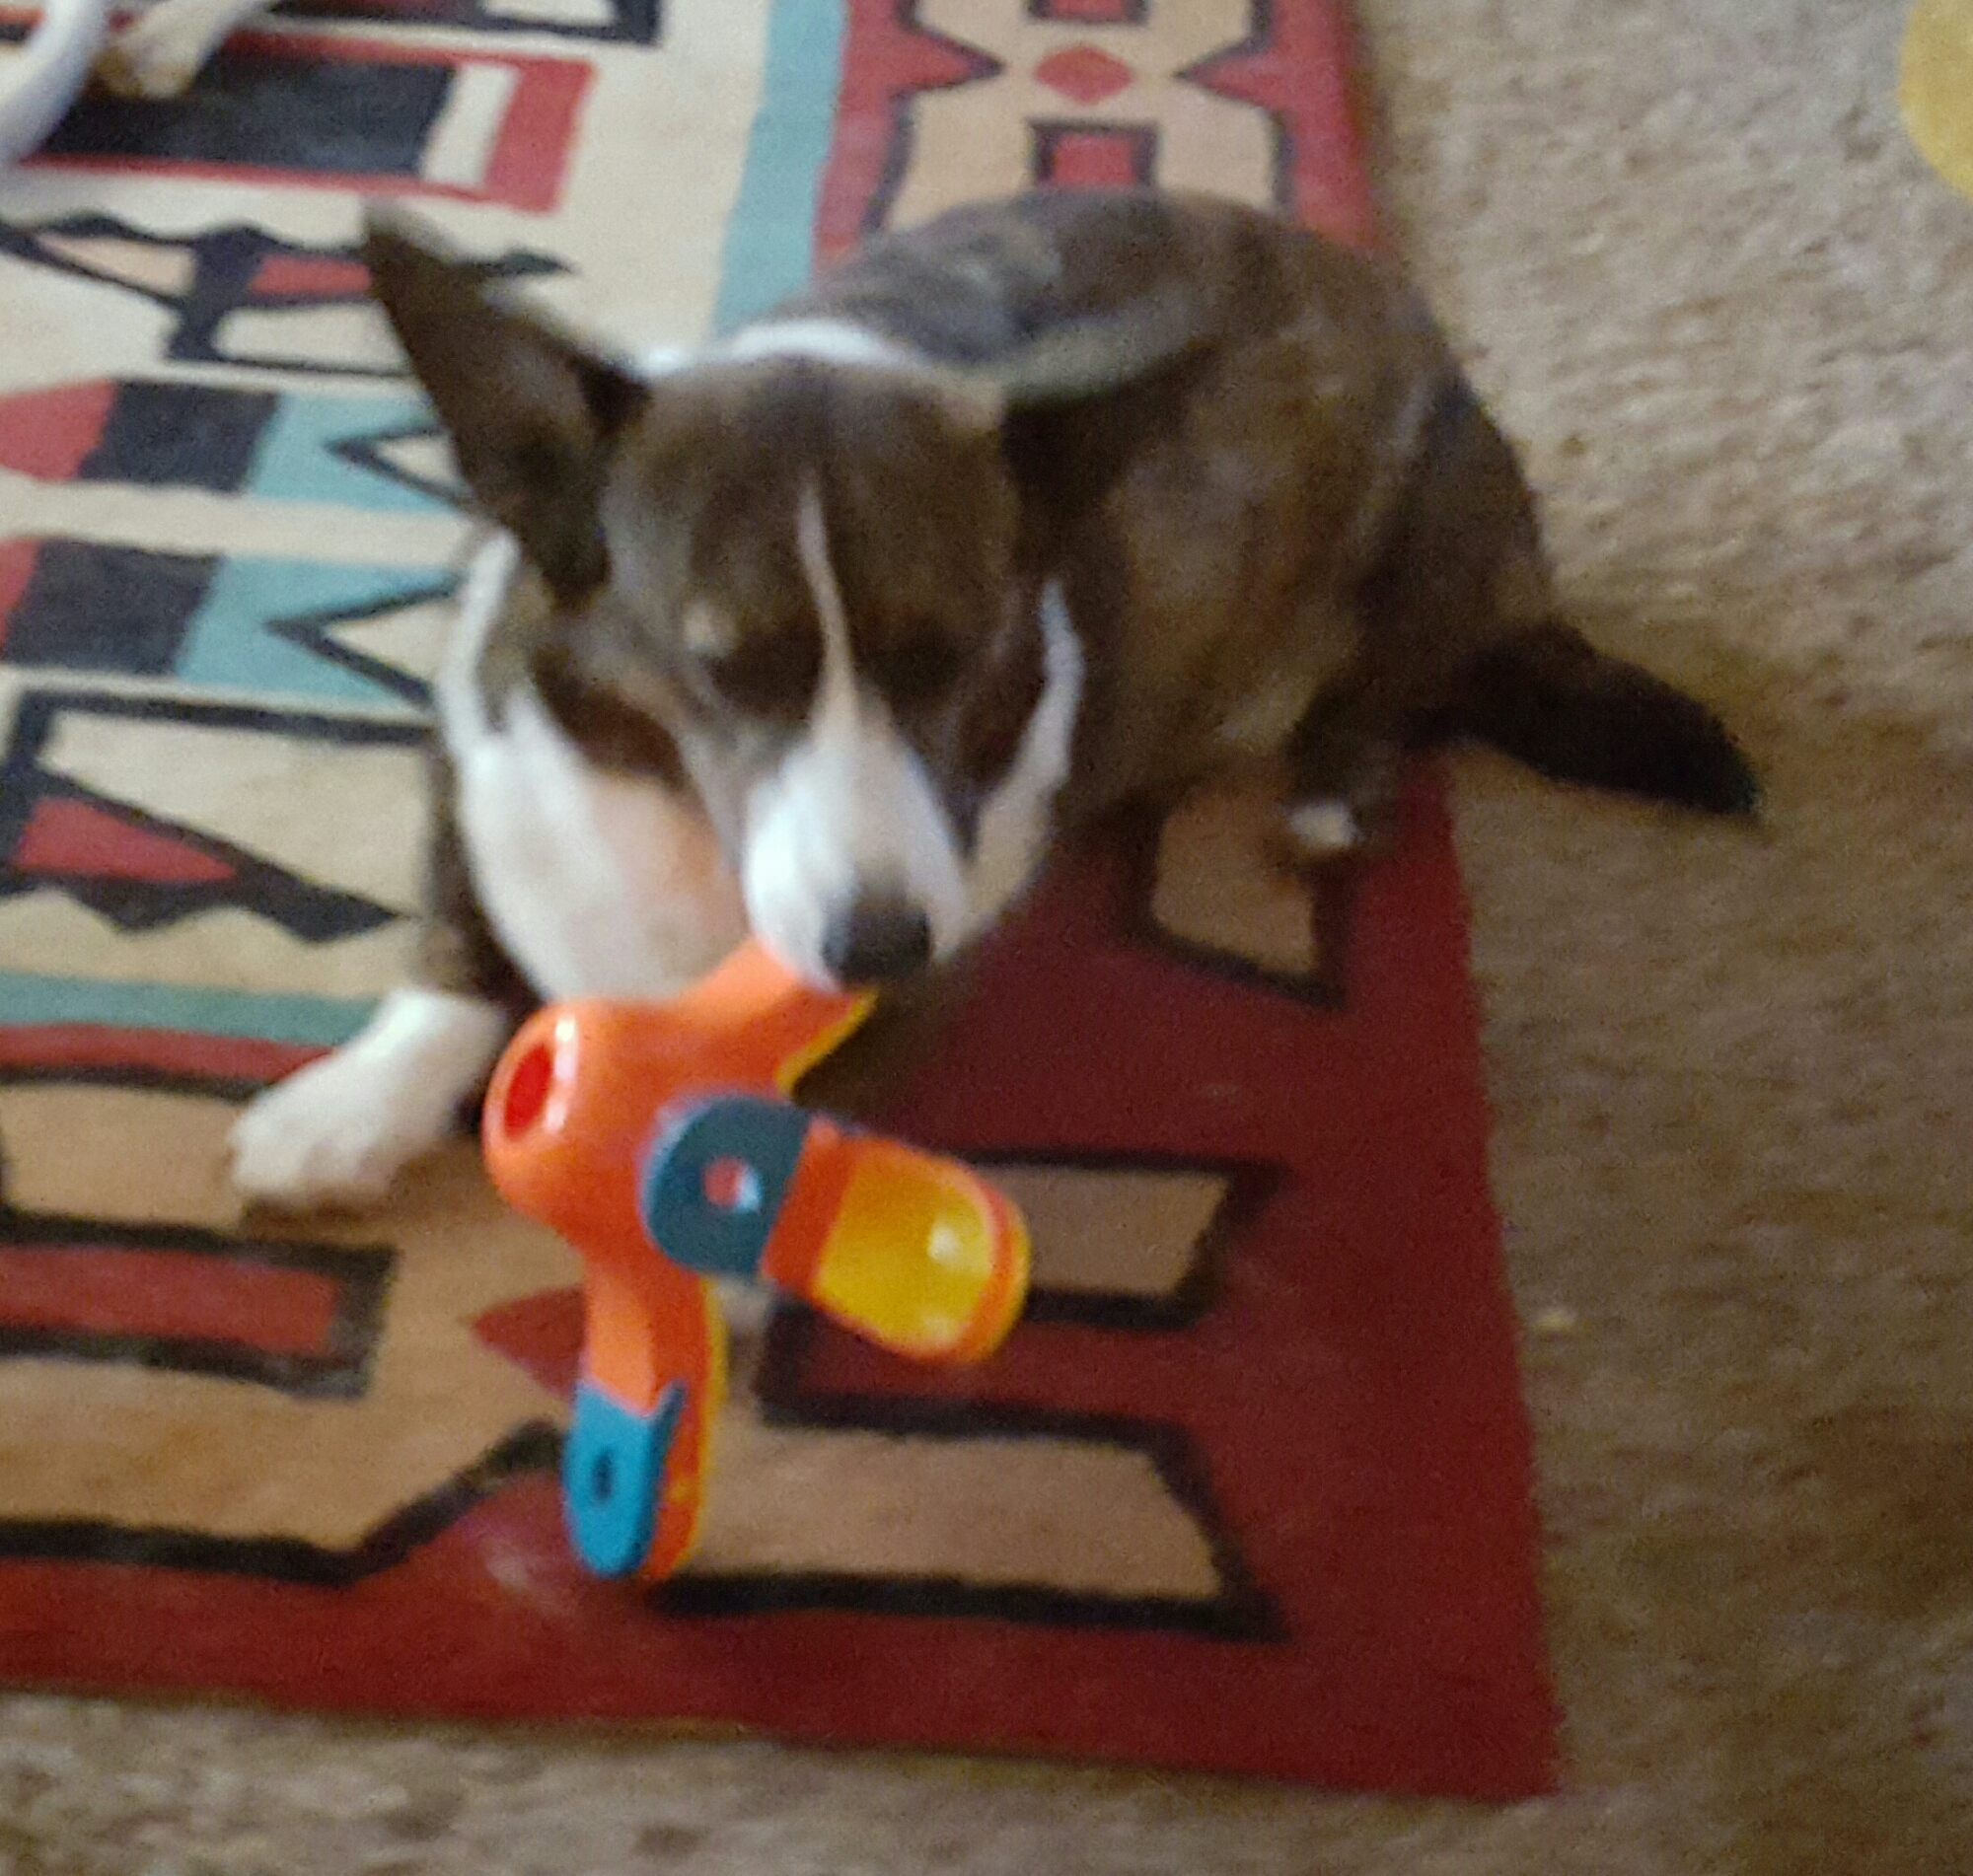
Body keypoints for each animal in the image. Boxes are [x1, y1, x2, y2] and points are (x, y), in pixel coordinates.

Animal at [227, 187, 1758, 1212]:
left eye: (956, 655)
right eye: (720, 666)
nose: (879, 943)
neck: (675, 824)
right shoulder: (473, 764)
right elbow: (453, 948)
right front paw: (342, 1116)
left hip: (1430, 527)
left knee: (1400, 689)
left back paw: (1329, 794)